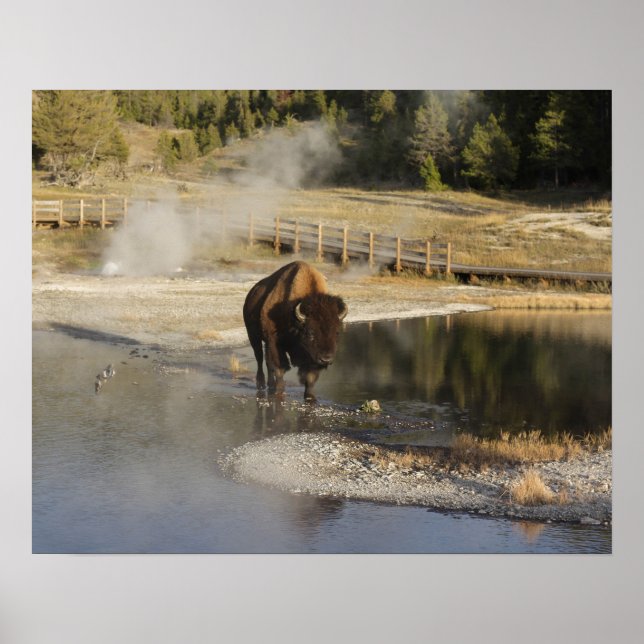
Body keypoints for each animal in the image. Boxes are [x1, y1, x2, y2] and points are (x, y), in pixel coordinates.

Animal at [243, 261, 348, 400]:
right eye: (310, 332)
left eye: (337, 332)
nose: (326, 359)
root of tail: (251, 293)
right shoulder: (275, 342)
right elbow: (280, 368)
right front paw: (279, 391)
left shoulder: (310, 356)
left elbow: (310, 377)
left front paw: (309, 396)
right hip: (253, 336)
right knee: (259, 359)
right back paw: (261, 384)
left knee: (267, 362)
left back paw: (270, 385)